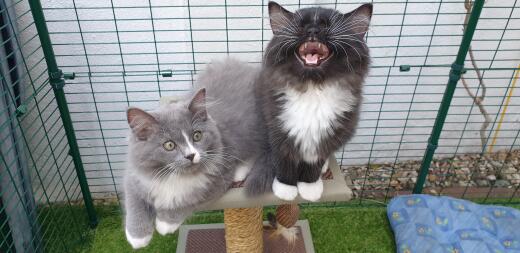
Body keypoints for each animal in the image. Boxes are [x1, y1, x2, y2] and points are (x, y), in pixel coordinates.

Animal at [124, 58, 266, 248]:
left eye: (197, 136)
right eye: (169, 145)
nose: (191, 156)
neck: (173, 176)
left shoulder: (217, 179)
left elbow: (189, 200)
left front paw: (164, 223)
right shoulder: (135, 176)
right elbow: (134, 202)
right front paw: (137, 237)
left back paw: (240, 172)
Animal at [246, 0, 372, 201]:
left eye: (327, 26)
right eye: (301, 25)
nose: (313, 30)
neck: (312, 87)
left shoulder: (326, 134)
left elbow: (314, 162)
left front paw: (309, 187)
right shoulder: (279, 129)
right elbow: (285, 161)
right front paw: (285, 189)